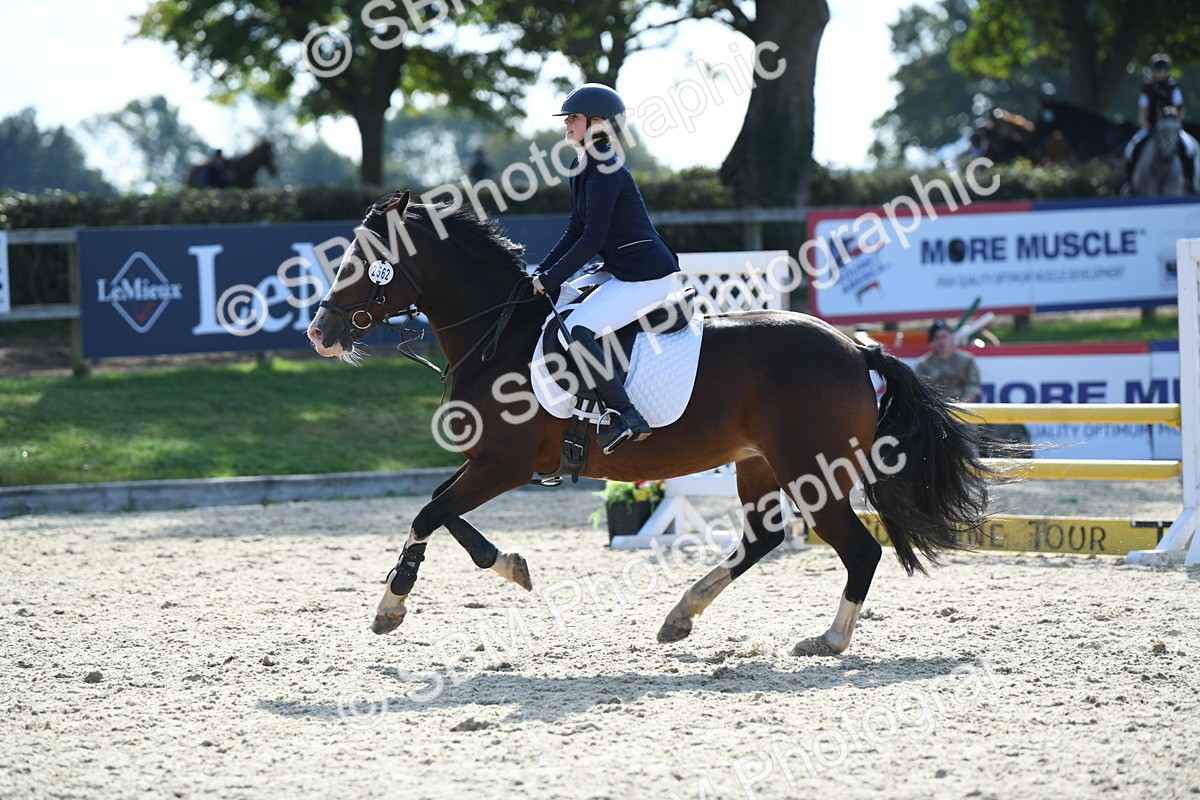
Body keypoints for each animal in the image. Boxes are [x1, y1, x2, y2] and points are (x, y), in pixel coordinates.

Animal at [305, 190, 992, 655]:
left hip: (811, 471)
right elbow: (443, 512)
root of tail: (855, 347)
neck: (499, 333)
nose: (319, 333)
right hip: (759, 463)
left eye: (365, 261)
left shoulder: (507, 464)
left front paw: (391, 604)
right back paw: (681, 615)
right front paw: (511, 566)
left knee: (859, 549)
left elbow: (430, 513)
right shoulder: (489, 463)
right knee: (762, 538)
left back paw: (827, 640)